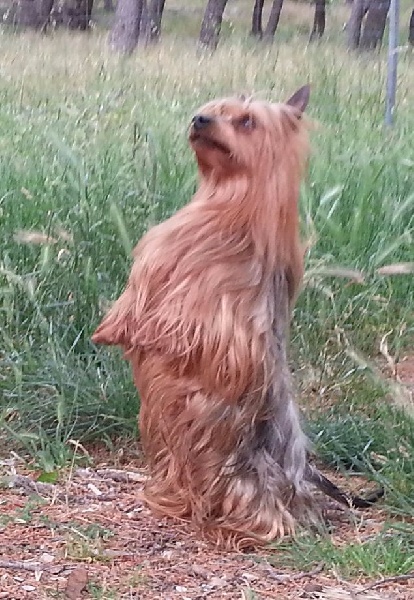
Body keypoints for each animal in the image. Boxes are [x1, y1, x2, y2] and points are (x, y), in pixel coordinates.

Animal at [92, 86, 382, 548]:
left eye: (246, 121)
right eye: (212, 109)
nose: (199, 119)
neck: (226, 198)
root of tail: (302, 481)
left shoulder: (223, 314)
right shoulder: (159, 256)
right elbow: (139, 292)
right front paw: (116, 326)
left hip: (246, 477)